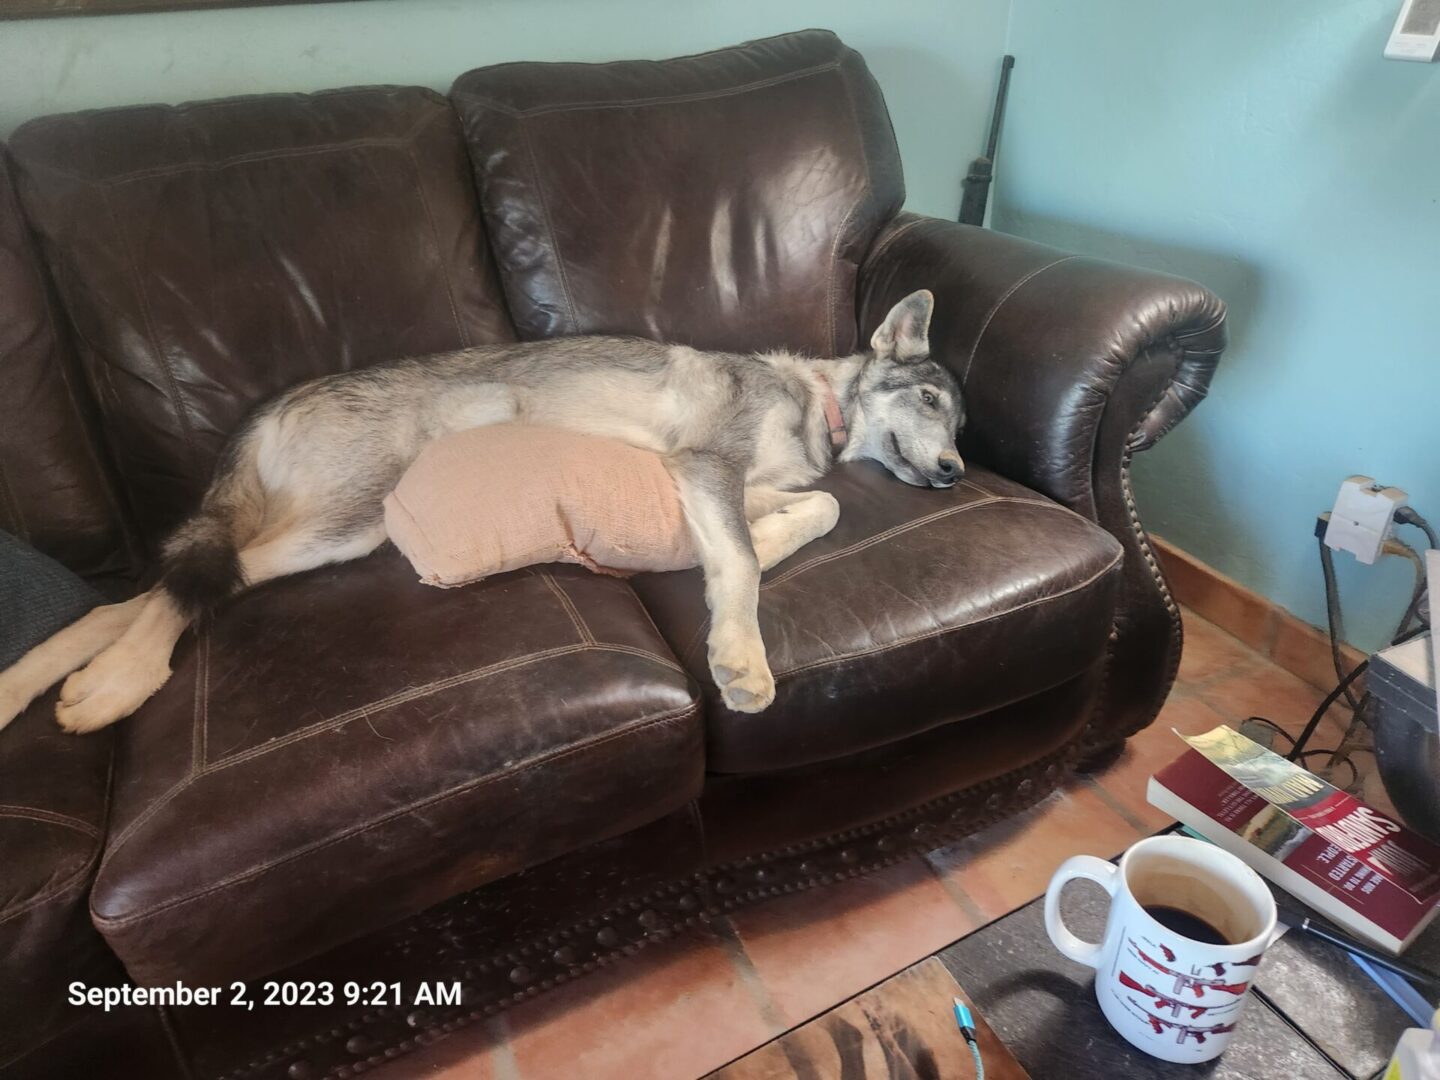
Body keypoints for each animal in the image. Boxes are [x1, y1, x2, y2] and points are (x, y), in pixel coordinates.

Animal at [2, 285, 967, 737]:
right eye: (931, 401)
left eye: (962, 423)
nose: (959, 471)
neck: (816, 406)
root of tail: (268, 406)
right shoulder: (706, 466)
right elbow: (744, 558)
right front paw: (741, 658)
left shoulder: (726, 483)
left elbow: (814, 513)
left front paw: (771, 546)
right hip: (345, 523)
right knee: (185, 587)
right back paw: (116, 686)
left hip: (328, 534)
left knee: (146, 593)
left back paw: (39, 681)